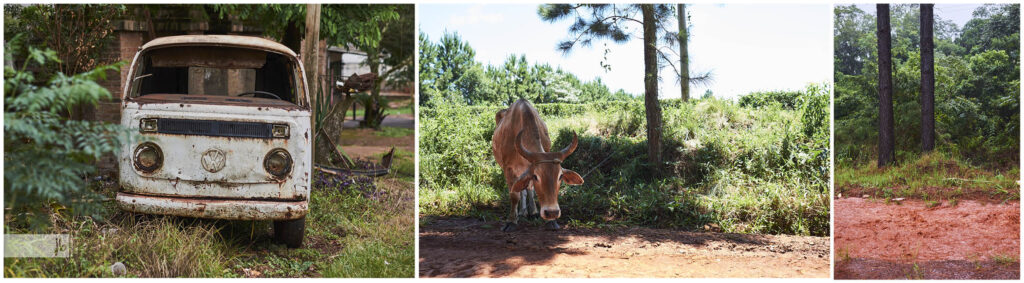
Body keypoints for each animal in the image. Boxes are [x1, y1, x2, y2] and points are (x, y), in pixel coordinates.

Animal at [495, 98, 585, 230]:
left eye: (560, 176)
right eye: (536, 176)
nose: (552, 212)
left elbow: (530, 190)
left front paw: (551, 221)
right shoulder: (509, 169)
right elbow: (514, 195)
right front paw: (511, 221)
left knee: (528, 189)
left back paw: (531, 212)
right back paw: (521, 212)